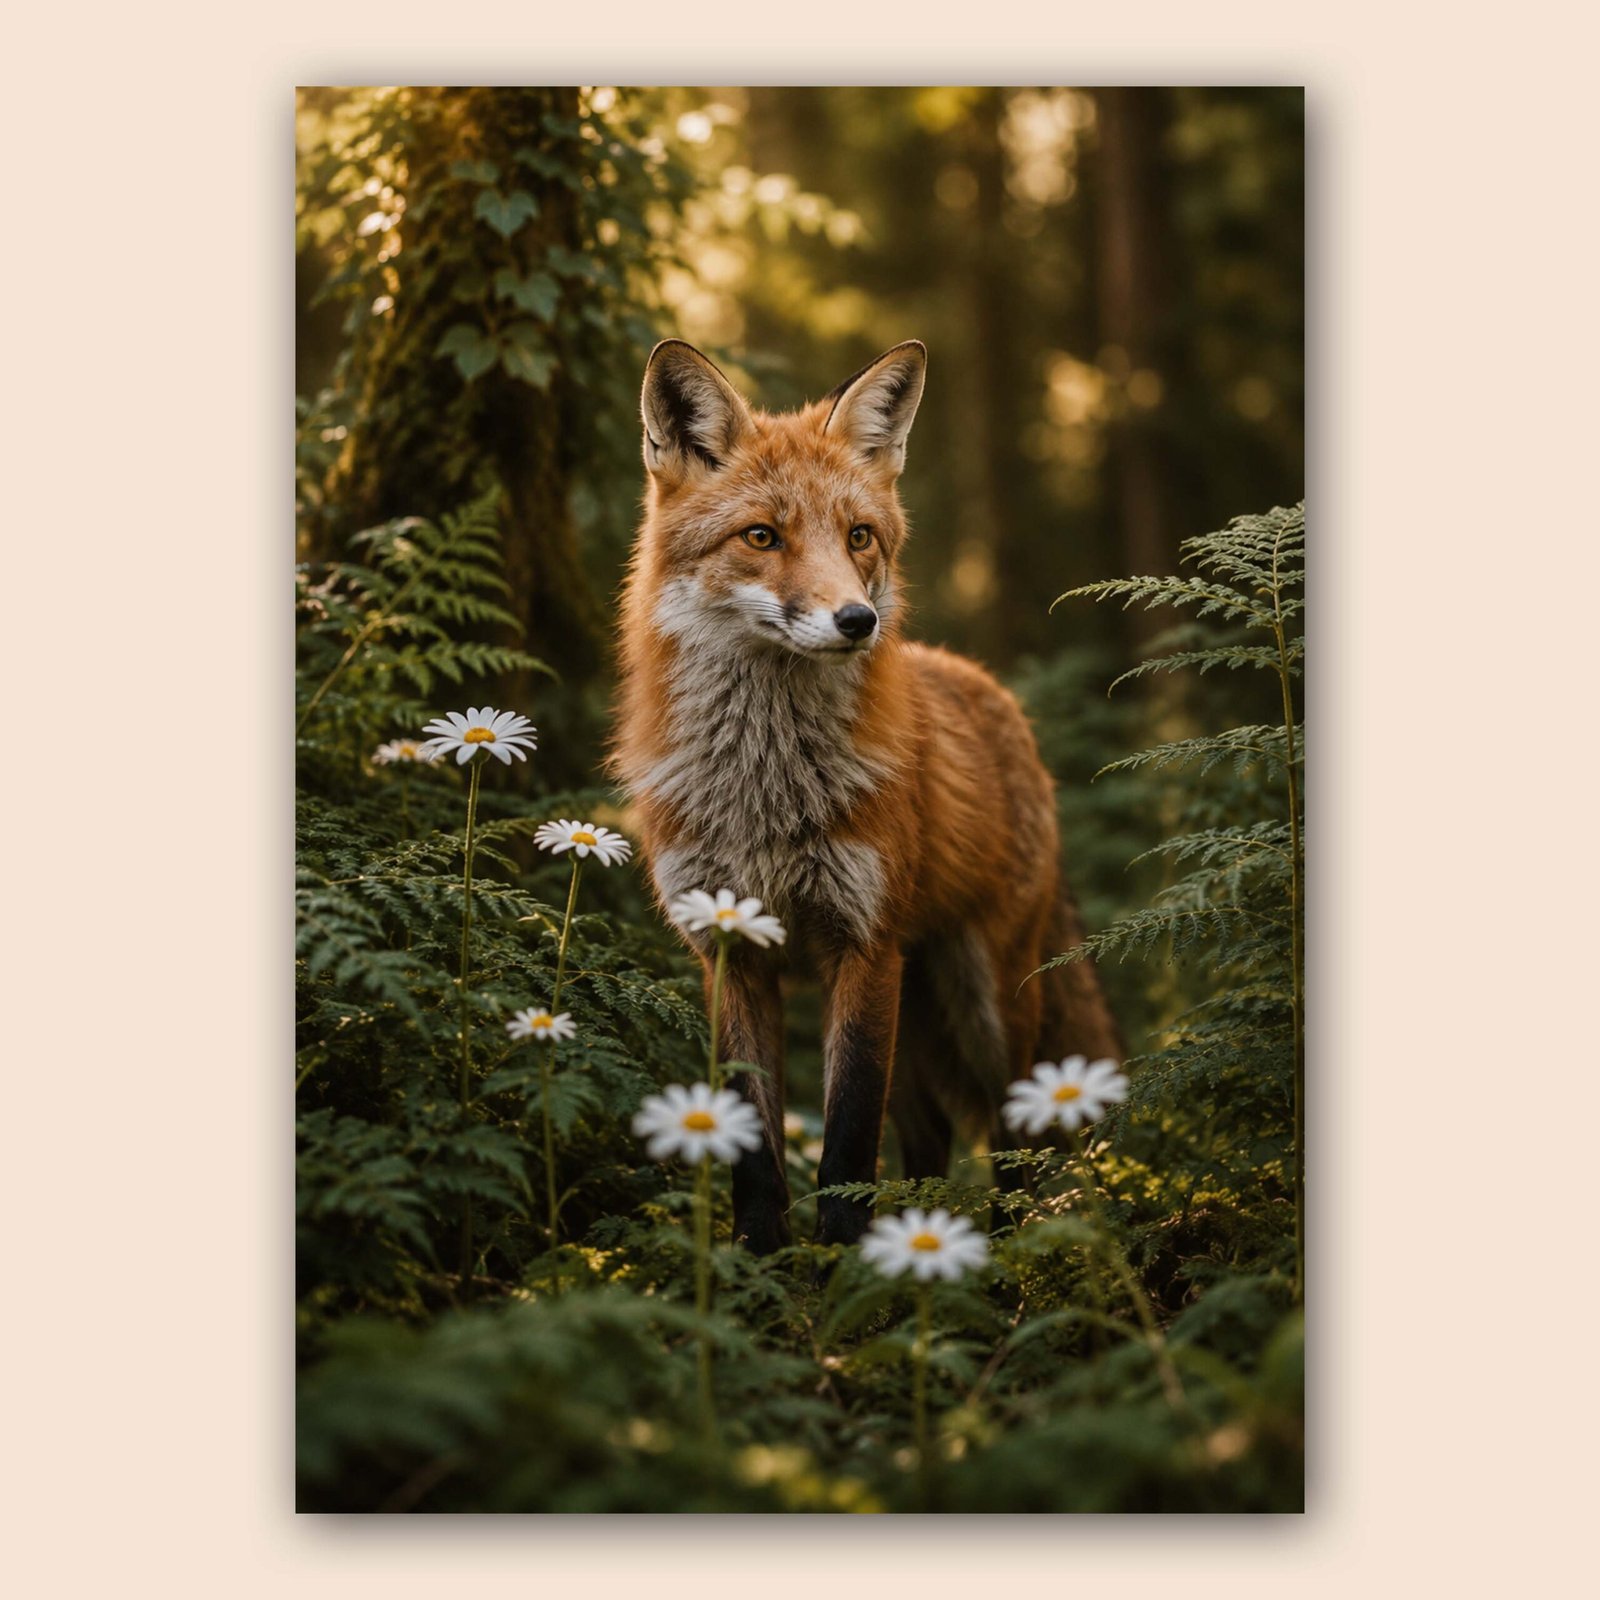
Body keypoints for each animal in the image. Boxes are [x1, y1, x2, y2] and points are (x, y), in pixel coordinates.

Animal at [611, 337, 1122, 1254]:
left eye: (859, 537)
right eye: (762, 536)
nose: (857, 621)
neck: (765, 794)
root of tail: (985, 687)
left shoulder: (865, 943)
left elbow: (847, 1144)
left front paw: (845, 1275)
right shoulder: (730, 950)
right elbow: (754, 1144)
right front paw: (761, 1265)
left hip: (985, 998)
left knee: (1015, 1130)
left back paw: (1002, 1253)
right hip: (919, 1017)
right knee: (930, 1135)